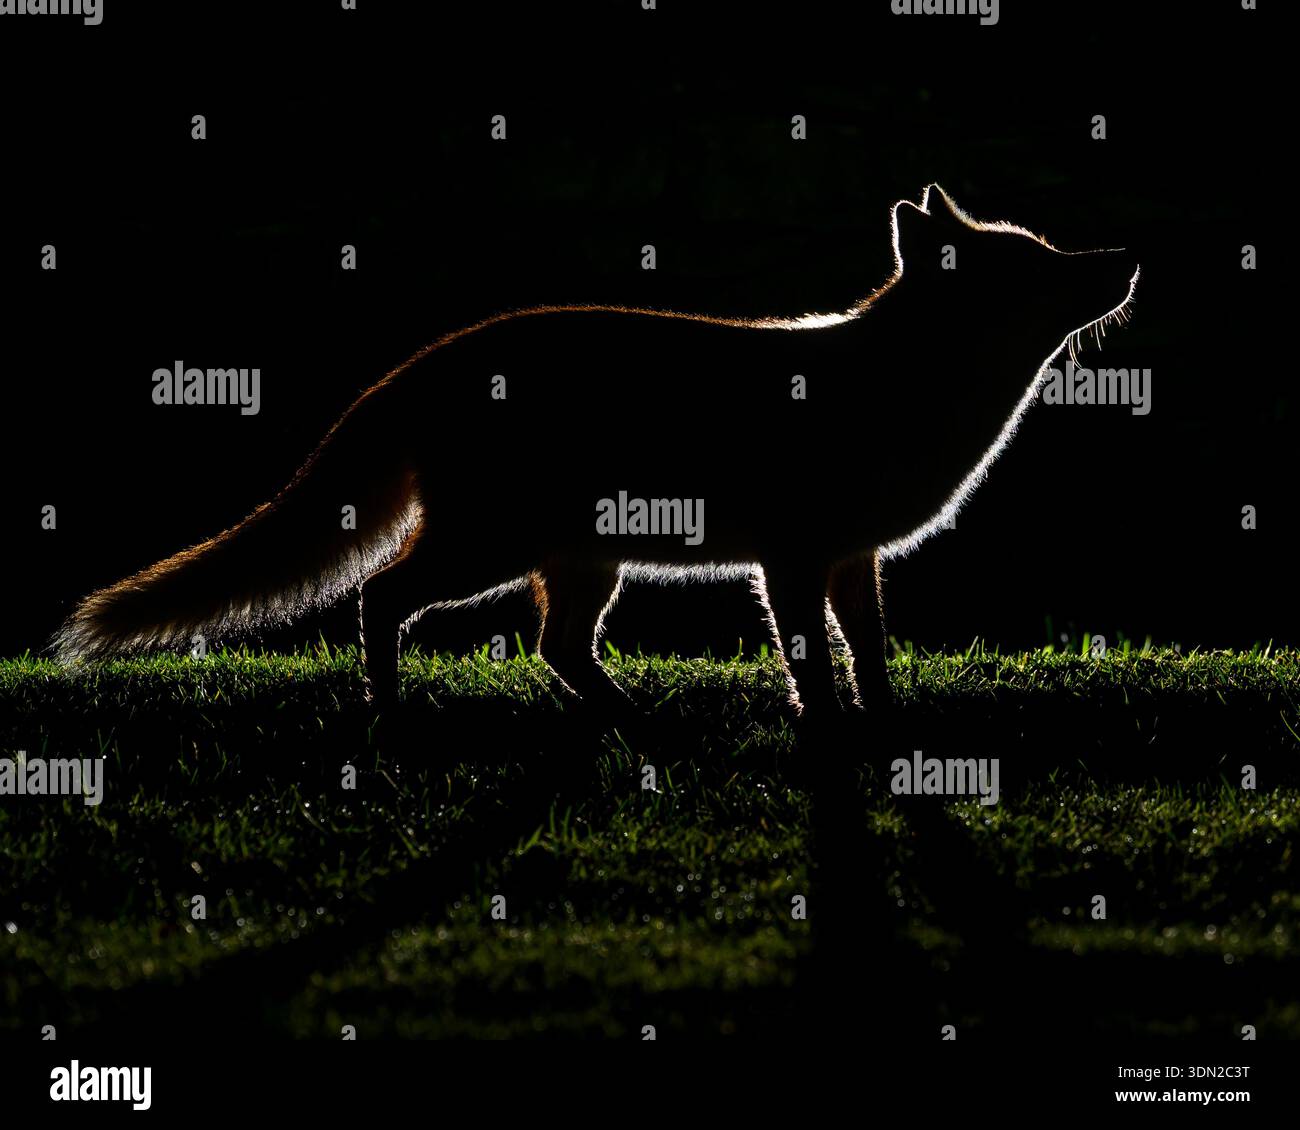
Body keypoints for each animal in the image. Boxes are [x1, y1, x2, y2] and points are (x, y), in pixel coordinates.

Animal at [54, 185, 1137, 721]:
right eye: (1040, 262)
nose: (1129, 257)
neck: (900, 391)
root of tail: (420, 361)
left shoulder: (851, 556)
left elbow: (869, 658)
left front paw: (887, 740)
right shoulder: (788, 558)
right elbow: (814, 667)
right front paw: (826, 739)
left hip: (583, 559)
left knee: (557, 648)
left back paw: (632, 718)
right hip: (491, 547)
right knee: (382, 600)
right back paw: (389, 717)